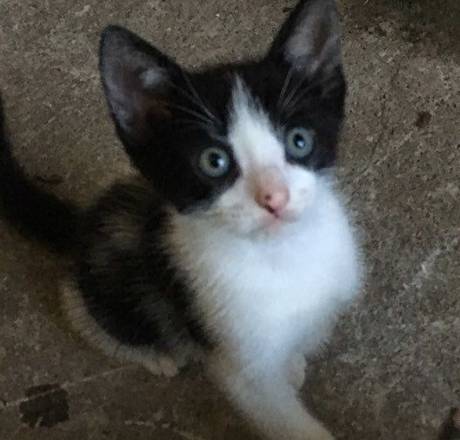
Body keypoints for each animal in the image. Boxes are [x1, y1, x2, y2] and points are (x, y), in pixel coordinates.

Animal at [0, 1, 362, 439]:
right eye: (213, 161)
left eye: (299, 140)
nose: (274, 198)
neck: (283, 255)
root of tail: (86, 221)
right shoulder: (236, 363)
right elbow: (285, 416)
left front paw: (292, 361)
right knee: (78, 303)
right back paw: (152, 353)